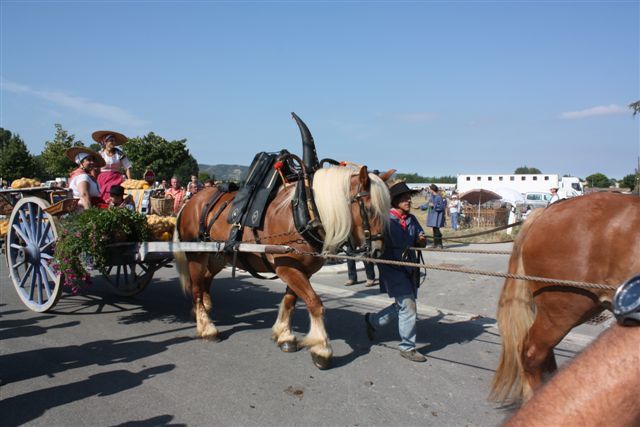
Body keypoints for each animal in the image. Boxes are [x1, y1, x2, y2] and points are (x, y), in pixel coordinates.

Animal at [174, 166, 390, 370]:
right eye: (370, 209)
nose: (379, 251)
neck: (305, 212)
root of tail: (191, 202)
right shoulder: (287, 268)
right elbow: (314, 302)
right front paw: (321, 349)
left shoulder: (301, 270)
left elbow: (290, 301)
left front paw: (284, 335)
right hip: (196, 254)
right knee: (196, 287)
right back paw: (206, 327)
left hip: (218, 256)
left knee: (205, 279)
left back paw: (202, 310)